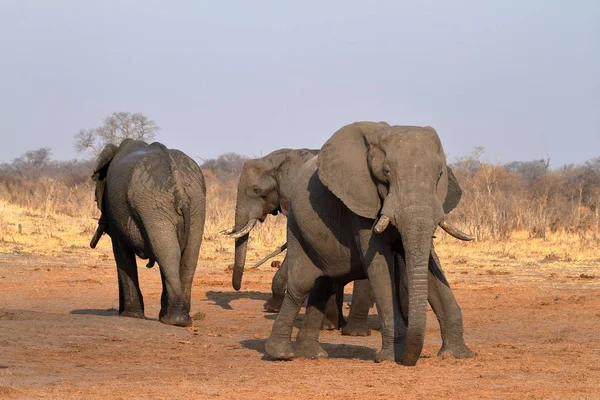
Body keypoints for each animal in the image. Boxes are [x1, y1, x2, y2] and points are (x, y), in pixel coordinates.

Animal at [89, 139, 206, 326]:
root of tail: (179, 188)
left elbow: (121, 253)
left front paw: (130, 316)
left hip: (154, 207)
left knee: (168, 254)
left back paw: (173, 320)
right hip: (196, 205)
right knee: (185, 256)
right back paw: (179, 320)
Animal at [264, 121, 476, 366]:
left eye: (439, 175)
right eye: (386, 173)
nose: (407, 360)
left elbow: (431, 267)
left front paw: (459, 354)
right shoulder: (360, 201)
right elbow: (380, 267)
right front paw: (389, 358)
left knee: (323, 284)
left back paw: (311, 353)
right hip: (296, 225)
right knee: (302, 284)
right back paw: (281, 354)